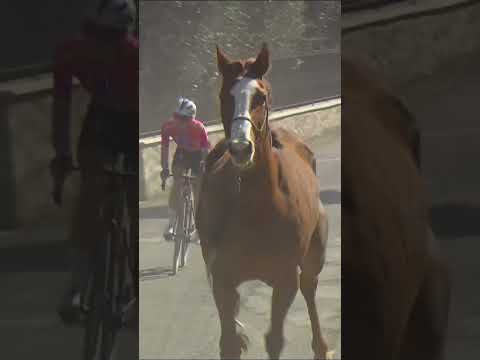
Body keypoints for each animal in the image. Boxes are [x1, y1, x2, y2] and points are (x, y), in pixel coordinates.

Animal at [197, 43, 332, 358]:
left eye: (260, 96)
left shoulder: (285, 279)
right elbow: (229, 342)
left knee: (309, 287)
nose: (240, 148)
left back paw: (321, 346)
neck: (257, 208)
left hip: (314, 254)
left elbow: (274, 339)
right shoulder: (222, 277)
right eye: (224, 96)